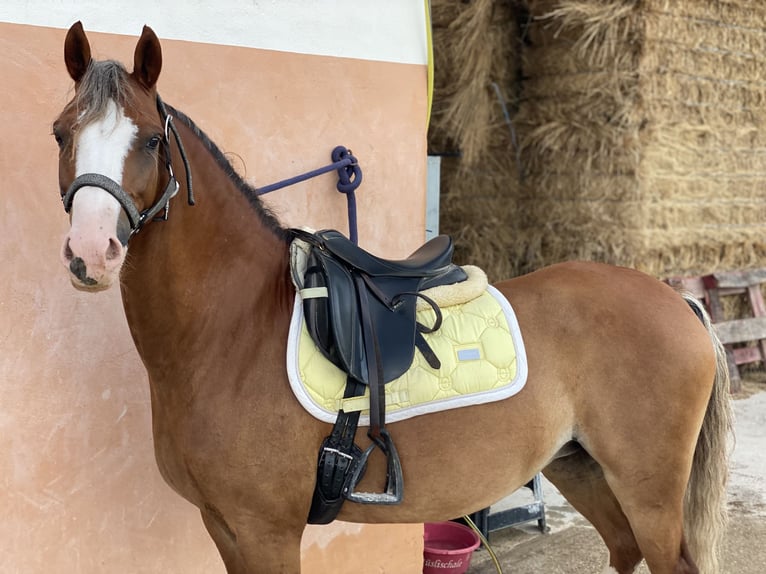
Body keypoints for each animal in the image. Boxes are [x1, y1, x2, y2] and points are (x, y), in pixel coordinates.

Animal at [53, 22, 732, 574]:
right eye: (62, 133)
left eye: (149, 141)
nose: (92, 252)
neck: (234, 332)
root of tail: (678, 301)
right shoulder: (222, 526)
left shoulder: (265, 531)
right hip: (581, 467)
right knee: (623, 549)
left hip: (648, 490)